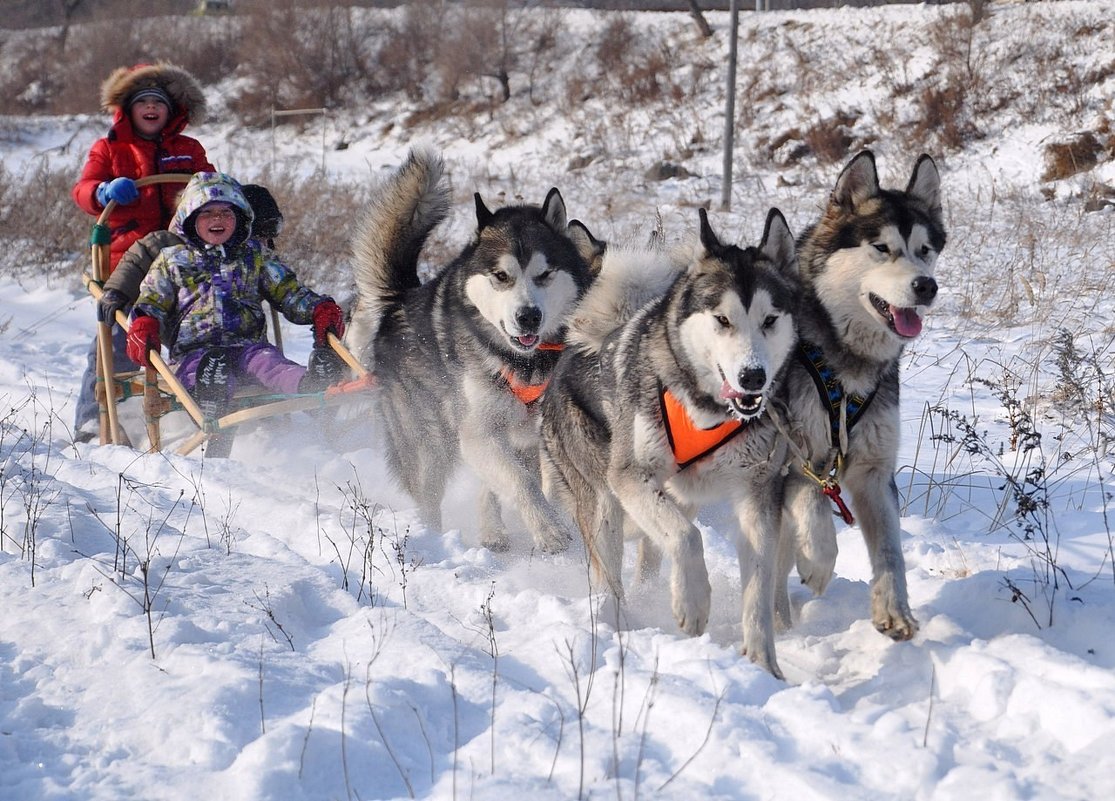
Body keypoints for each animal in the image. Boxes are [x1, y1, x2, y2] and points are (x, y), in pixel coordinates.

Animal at [347, 147, 593, 555]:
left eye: (544, 274)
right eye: (501, 276)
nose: (529, 316)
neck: (524, 362)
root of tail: (401, 300)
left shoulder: (542, 434)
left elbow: (546, 483)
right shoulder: (478, 432)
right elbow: (522, 483)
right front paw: (550, 531)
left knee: (488, 485)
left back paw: (492, 530)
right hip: (431, 445)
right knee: (431, 496)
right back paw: (435, 541)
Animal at [541, 207, 798, 678]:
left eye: (770, 320)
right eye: (722, 319)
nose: (753, 377)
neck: (708, 411)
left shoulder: (757, 494)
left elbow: (759, 584)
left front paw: (763, 665)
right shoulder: (630, 477)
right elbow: (687, 539)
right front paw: (693, 603)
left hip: (677, 497)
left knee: (650, 552)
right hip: (604, 502)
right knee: (610, 573)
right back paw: (617, 623)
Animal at [776, 149, 949, 638]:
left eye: (924, 251)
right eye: (882, 248)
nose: (926, 286)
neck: (845, 368)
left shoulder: (875, 471)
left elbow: (891, 552)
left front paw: (894, 610)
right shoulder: (798, 460)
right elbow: (815, 511)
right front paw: (817, 566)